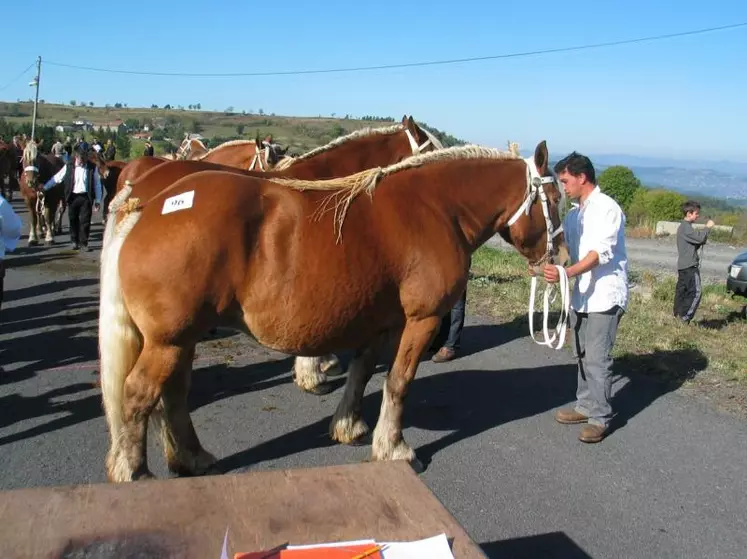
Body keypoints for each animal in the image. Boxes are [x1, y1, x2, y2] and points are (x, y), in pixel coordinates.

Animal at [98, 139, 568, 482]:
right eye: (554, 197)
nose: (561, 256)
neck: (435, 207)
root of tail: (145, 206)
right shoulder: (421, 320)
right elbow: (399, 382)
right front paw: (393, 447)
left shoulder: (380, 322)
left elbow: (362, 374)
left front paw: (350, 427)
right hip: (169, 341)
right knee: (138, 395)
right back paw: (136, 474)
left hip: (180, 339)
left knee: (173, 395)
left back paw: (191, 457)